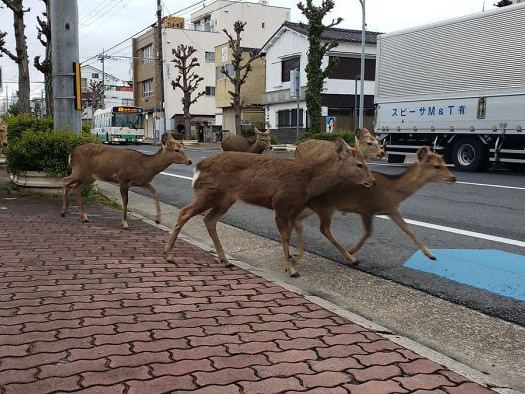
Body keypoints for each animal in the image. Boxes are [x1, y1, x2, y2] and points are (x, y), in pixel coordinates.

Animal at [61, 134, 191, 229]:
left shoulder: (143, 182)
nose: (189, 161)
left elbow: (155, 193)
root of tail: (71, 153)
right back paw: (63, 211)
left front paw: (158, 219)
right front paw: (125, 223)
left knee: (76, 188)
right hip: (80, 170)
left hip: (90, 176)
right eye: (176, 150)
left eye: (182, 147)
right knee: (65, 180)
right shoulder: (123, 179)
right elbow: (125, 201)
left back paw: (84, 216)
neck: (144, 166)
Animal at [163, 138, 372, 278]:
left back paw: (226, 260)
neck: (308, 183)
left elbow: (294, 233)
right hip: (209, 193)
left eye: (365, 162)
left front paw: (353, 259)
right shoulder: (280, 204)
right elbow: (286, 236)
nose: (373, 181)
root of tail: (198, 167)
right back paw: (168, 255)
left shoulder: (294, 208)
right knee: (184, 212)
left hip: (226, 199)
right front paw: (291, 269)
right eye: (359, 164)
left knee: (209, 219)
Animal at [292, 146, 456, 264]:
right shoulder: (367, 208)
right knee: (323, 229)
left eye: (444, 163)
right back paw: (350, 258)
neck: (394, 191)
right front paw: (352, 250)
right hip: (326, 206)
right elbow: (368, 232)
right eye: (436, 166)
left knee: (298, 220)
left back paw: (296, 254)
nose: (453, 178)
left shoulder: (392, 209)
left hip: (313, 207)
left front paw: (430, 254)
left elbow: (409, 230)